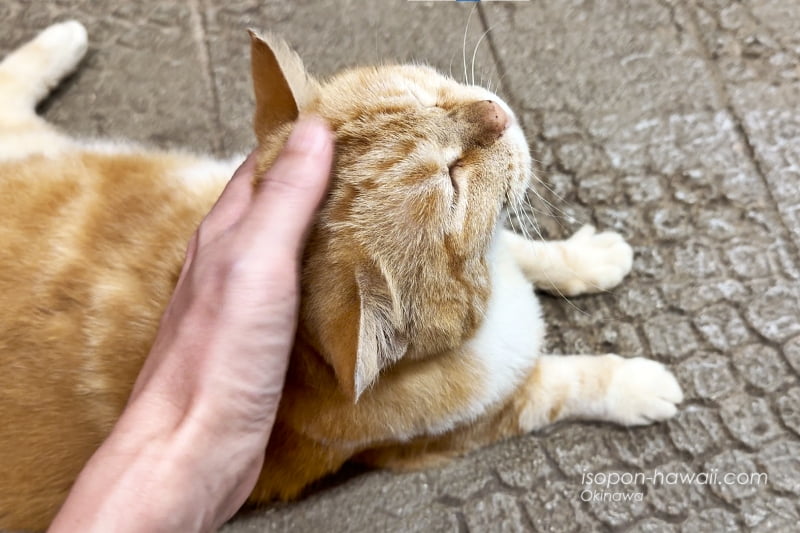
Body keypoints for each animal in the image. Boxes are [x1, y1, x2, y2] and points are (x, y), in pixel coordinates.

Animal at [1, 21, 688, 532]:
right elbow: (566, 384)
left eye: (425, 95)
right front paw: (636, 386)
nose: (495, 113)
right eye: (453, 182)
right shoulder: (460, 429)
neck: (493, 303)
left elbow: (529, 249)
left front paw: (588, 258)